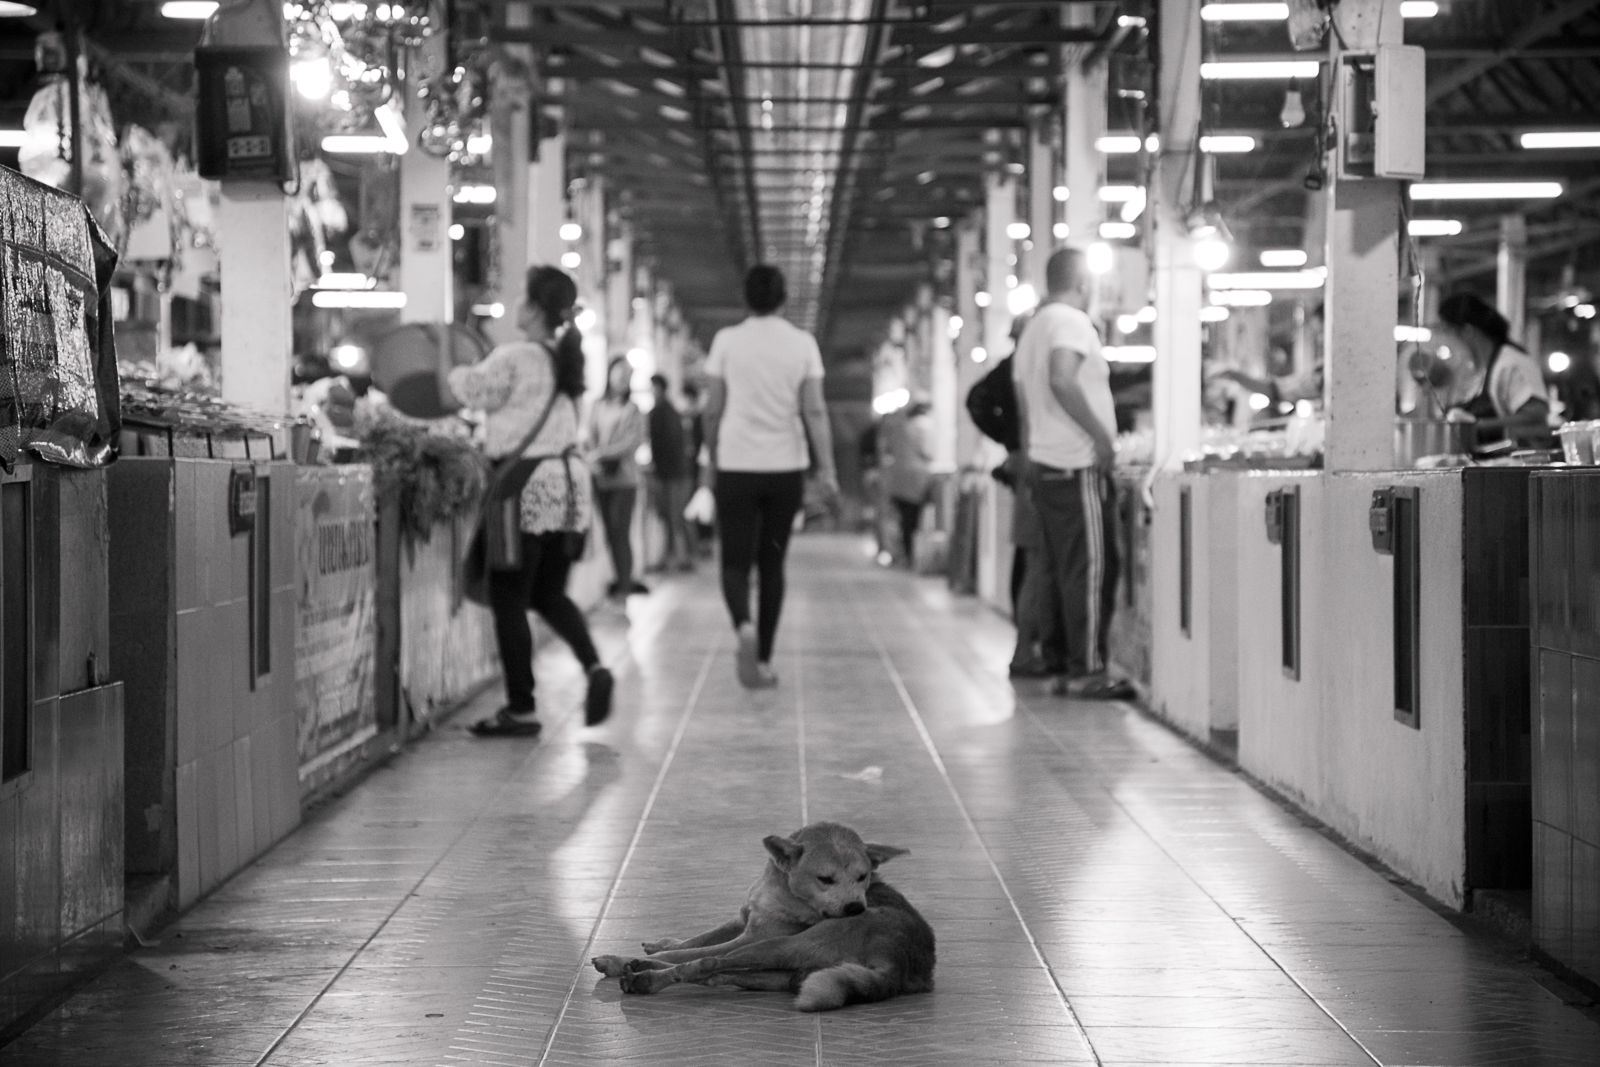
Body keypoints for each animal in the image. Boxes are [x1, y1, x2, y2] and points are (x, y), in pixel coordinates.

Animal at [595, 825, 934, 1017]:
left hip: (782, 945)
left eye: (863, 877)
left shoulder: (753, 936)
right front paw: (651, 949)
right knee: (721, 971)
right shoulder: (741, 920)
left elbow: (691, 952)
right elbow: (697, 940)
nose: (855, 908)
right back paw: (640, 970)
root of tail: (901, 961)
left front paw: (641, 956)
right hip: (786, 973)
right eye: (826, 879)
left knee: (707, 964)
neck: (778, 886)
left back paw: (646, 976)